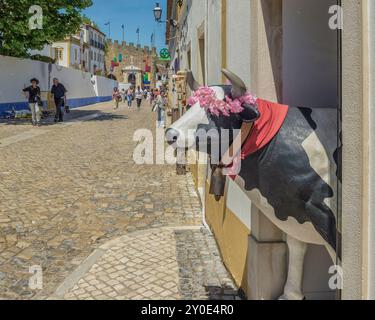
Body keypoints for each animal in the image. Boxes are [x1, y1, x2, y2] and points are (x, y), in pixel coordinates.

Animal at [167, 69, 340, 300]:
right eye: (191, 105)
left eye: (216, 111)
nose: (170, 133)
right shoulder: (296, 210)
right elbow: (296, 247)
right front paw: (290, 295)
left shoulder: (325, 216)